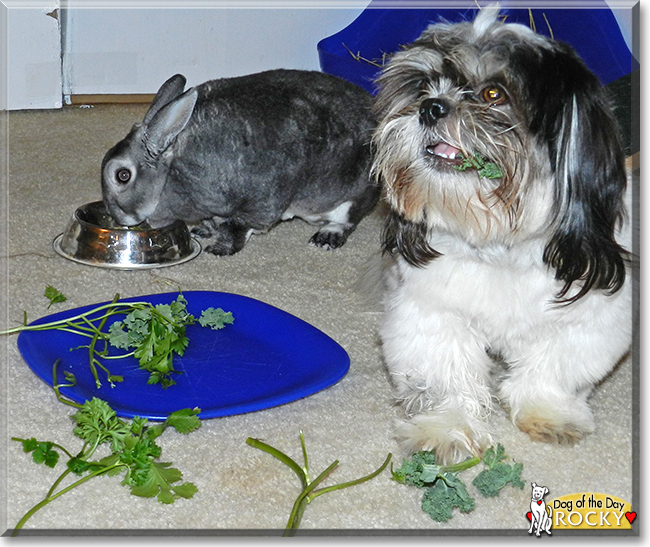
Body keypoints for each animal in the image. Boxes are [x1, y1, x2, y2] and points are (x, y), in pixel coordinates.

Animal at [98, 69, 378, 256]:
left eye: (122, 175)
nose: (119, 217)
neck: (173, 171)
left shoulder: (262, 201)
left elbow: (237, 227)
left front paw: (219, 249)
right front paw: (202, 231)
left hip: (351, 197)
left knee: (347, 220)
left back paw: (326, 237)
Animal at [372, 7, 632, 466]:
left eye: (493, 93)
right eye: (422, 86)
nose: (432, 107)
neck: (500, 245)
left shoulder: (591, 317)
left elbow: (553, 369)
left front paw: (549, 414)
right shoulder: (430, 311)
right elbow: (446, 376)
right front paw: (444, 429)